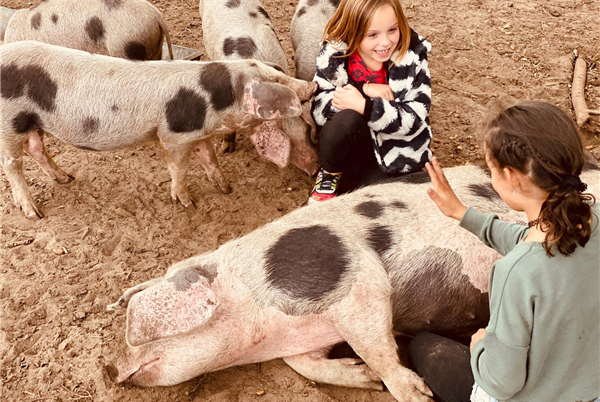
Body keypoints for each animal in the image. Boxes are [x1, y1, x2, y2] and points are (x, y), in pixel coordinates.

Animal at [0, 40, 317, 219]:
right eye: (278, 82)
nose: (311, 86)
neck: (214, 101)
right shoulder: (173, 137)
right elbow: (179, 169)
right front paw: (188, 203)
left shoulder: (197, 133)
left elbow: (210, 158)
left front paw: (226, 188)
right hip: (10, 122)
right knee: (11, 164)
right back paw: (34, 214)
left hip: (33, 123)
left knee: (36, 148)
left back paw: (66, 178)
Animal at [106, 164, 599, 400]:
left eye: (134, 333)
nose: (109, 369)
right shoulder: (308, 335)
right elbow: (303, 364)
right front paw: (361, 378)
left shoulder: (351, 281)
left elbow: (374, 339)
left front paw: (411, 393)